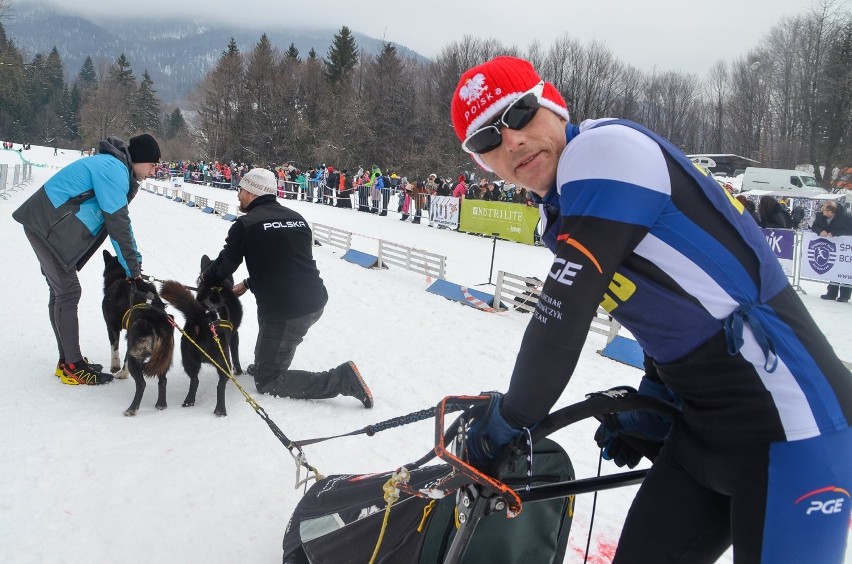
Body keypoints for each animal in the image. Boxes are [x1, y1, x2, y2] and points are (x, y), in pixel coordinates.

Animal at [101, 250, 175, 414]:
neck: (122, 276)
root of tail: (157, 320)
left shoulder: (112, 327)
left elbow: (114, 349)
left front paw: (116, 368)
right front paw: (123, 372)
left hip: (137, 354)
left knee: (141, 384)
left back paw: (132, 409)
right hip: (162, 358)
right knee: (163, 380)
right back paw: (161, 404)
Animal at [160, 254, 241, 414]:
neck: (215, 285)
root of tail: (202, 321)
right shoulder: (235, 335)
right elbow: (236, 355)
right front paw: (240, 371)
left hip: (188, 359)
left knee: (194, 380)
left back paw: (189, 401)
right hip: (223, 360)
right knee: (220, 385)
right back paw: (220, 409)